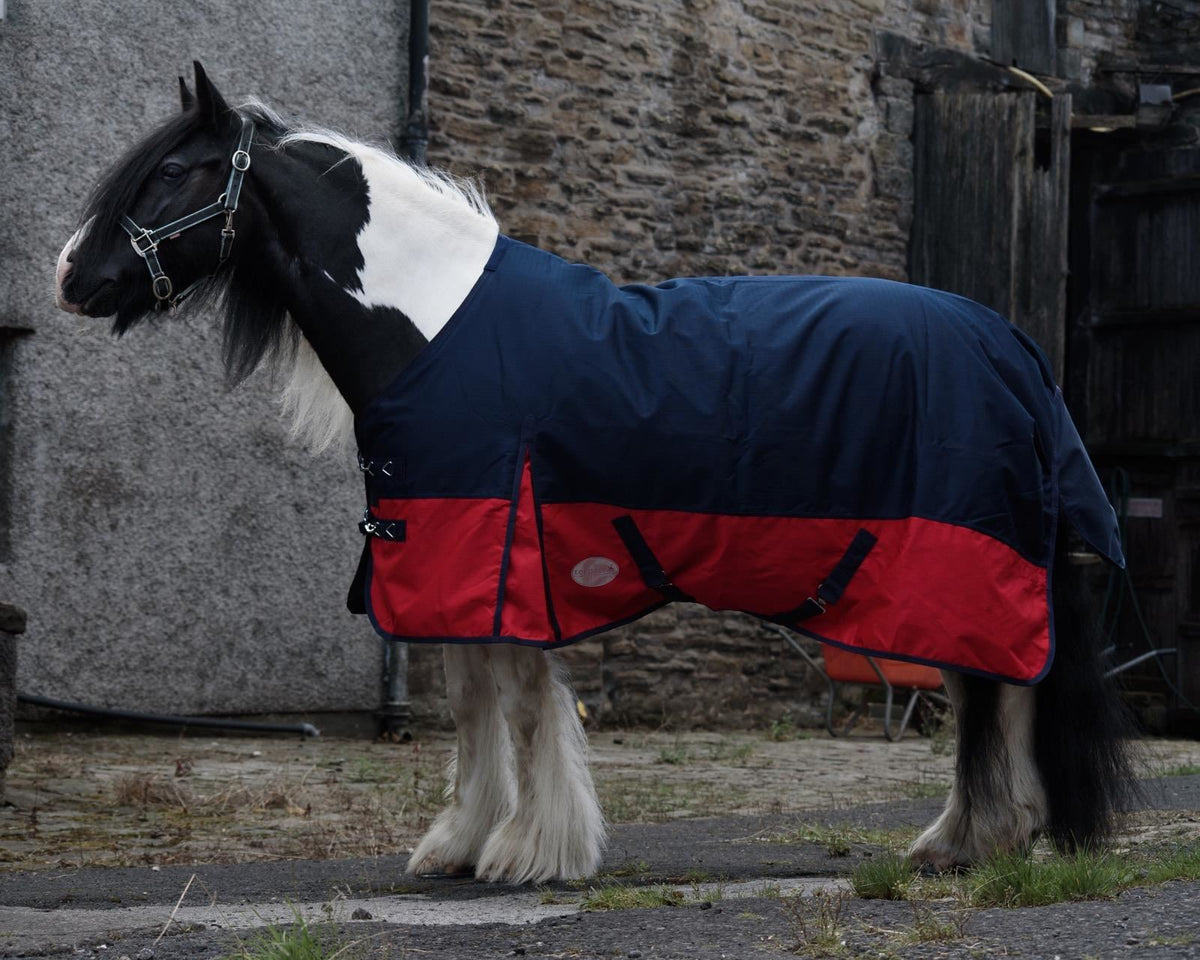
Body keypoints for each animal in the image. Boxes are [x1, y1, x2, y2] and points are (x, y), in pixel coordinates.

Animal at [54, 64, 1133, 884]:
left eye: (173, 172)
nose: (69, 275)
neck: (435, 324)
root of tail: (1013, 349)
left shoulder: (503, 549)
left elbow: (527, 704)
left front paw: (528, 851)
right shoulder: (448, 548)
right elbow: (474, 700)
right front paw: (463, 842)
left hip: (949, 564)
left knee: (988, 691)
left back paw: (968, 838)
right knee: (1006, 688)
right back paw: (995, 835)